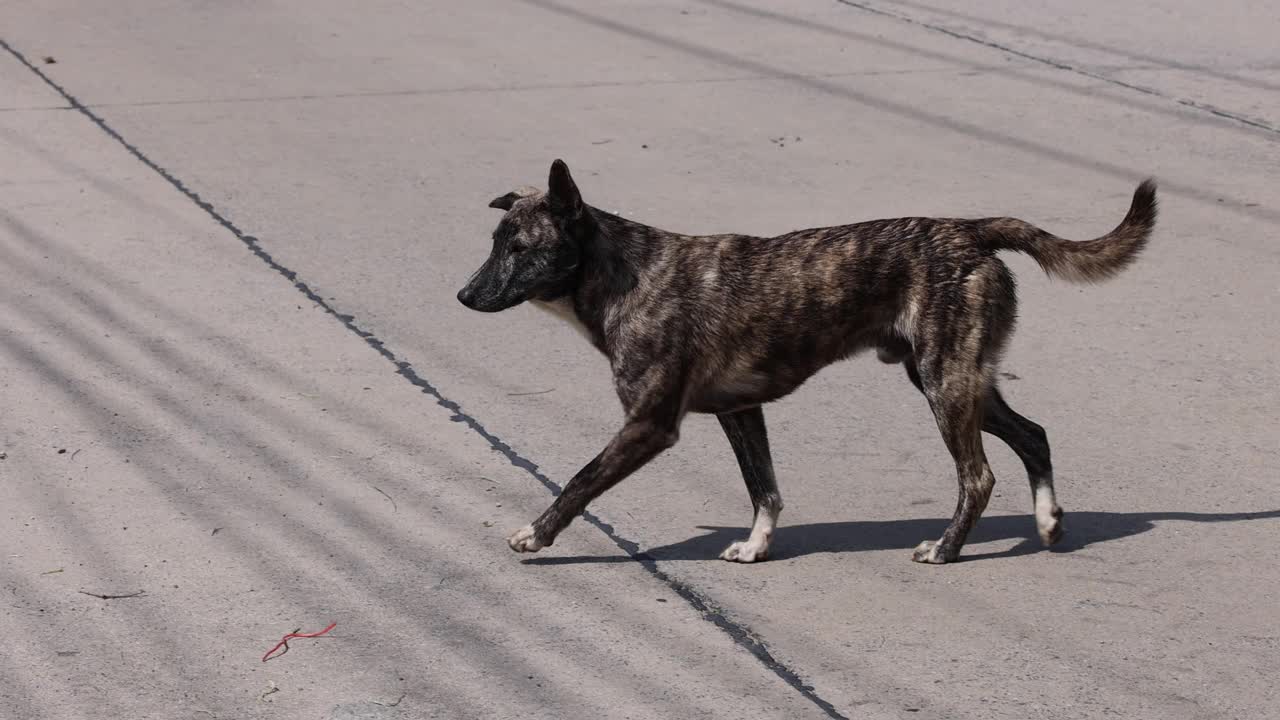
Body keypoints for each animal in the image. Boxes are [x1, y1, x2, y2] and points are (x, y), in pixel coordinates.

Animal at [455, 159, 1157, 563]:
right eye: (494, 243)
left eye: (519, 248)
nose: (463, 296)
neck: (625, 276)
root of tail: (970, 229)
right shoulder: (740, 411)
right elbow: (764, 488)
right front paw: (757, 545)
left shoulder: (649, 427)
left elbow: (577, 481)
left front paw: (536, 534)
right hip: (955, 380)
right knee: (1033, 435)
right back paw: (1048, 522)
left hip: (945, 383)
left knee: (978, 476)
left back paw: (948, 548)